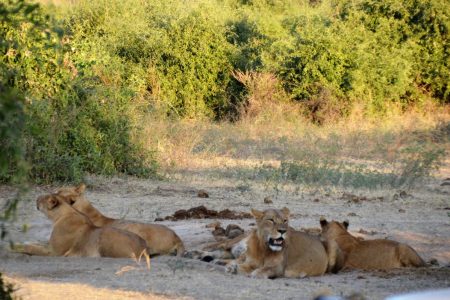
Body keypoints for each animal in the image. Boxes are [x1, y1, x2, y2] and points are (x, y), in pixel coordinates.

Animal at [16, 193, 149, 258]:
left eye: (43, 198)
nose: (36, 198)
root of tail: (145, 248)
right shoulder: (50, 245)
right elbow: (35, 244)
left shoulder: (54, 252)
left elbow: (32, 248)